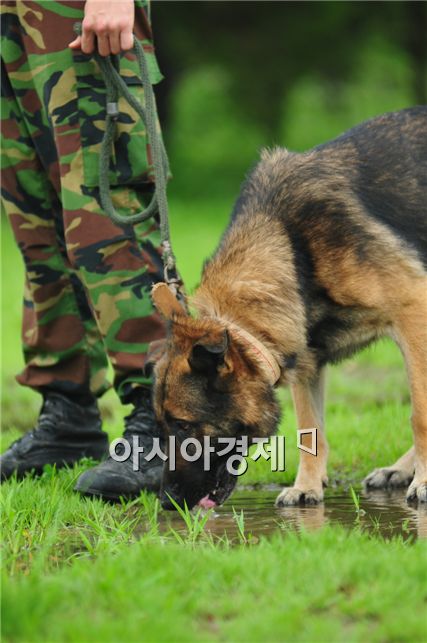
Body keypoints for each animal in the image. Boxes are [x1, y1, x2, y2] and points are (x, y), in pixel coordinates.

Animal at [150, 108, 427, 510]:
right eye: (161, 426)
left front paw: (423, 481)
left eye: (185, 425)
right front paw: (306, 487)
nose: (165, 500)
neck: (289, 247)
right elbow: (310, 431)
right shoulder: (304, 355)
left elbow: (420, 414)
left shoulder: (414, 311)